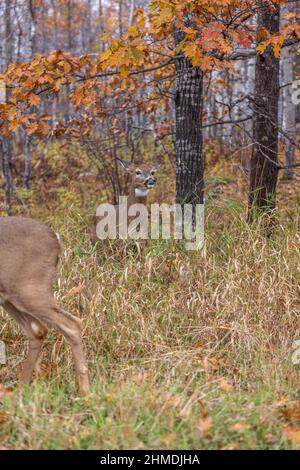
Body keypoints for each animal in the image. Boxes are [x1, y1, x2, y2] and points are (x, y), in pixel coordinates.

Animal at [0, 218, 89, 394]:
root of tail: (55, 238)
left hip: (30, 289)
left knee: (72, 323)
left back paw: (85, 391)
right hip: (11, 297)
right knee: (38, 330)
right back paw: (20, 391)